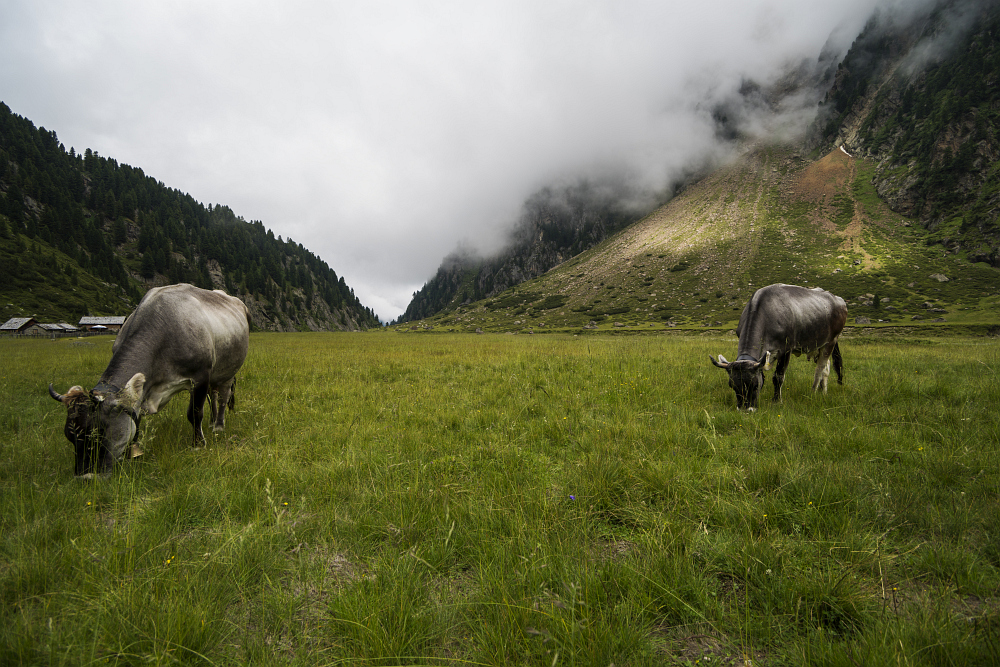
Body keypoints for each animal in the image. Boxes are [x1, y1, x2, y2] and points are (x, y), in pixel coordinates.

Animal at [49, 284, 250, 478]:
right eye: (69, 436)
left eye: (98, 432)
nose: (85, 477)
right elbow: (135, 420)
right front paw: (132, 453)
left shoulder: (200, 377)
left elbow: (194, 413)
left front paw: (198, 444)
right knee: (213, 396)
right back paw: (211, 422)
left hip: (227, 371)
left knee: (223, 397)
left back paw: (218, 426)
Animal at [708, 284, 848, 410]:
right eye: (732, 386)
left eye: (755, 385)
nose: (745, 410)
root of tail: (838, 299)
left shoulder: (786, 350)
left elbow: (778, 377)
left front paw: (776, 400)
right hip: (819, 345)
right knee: (826, 368)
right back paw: (822, 391)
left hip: (831, 341)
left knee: (820, 369)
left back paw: (813, 392)